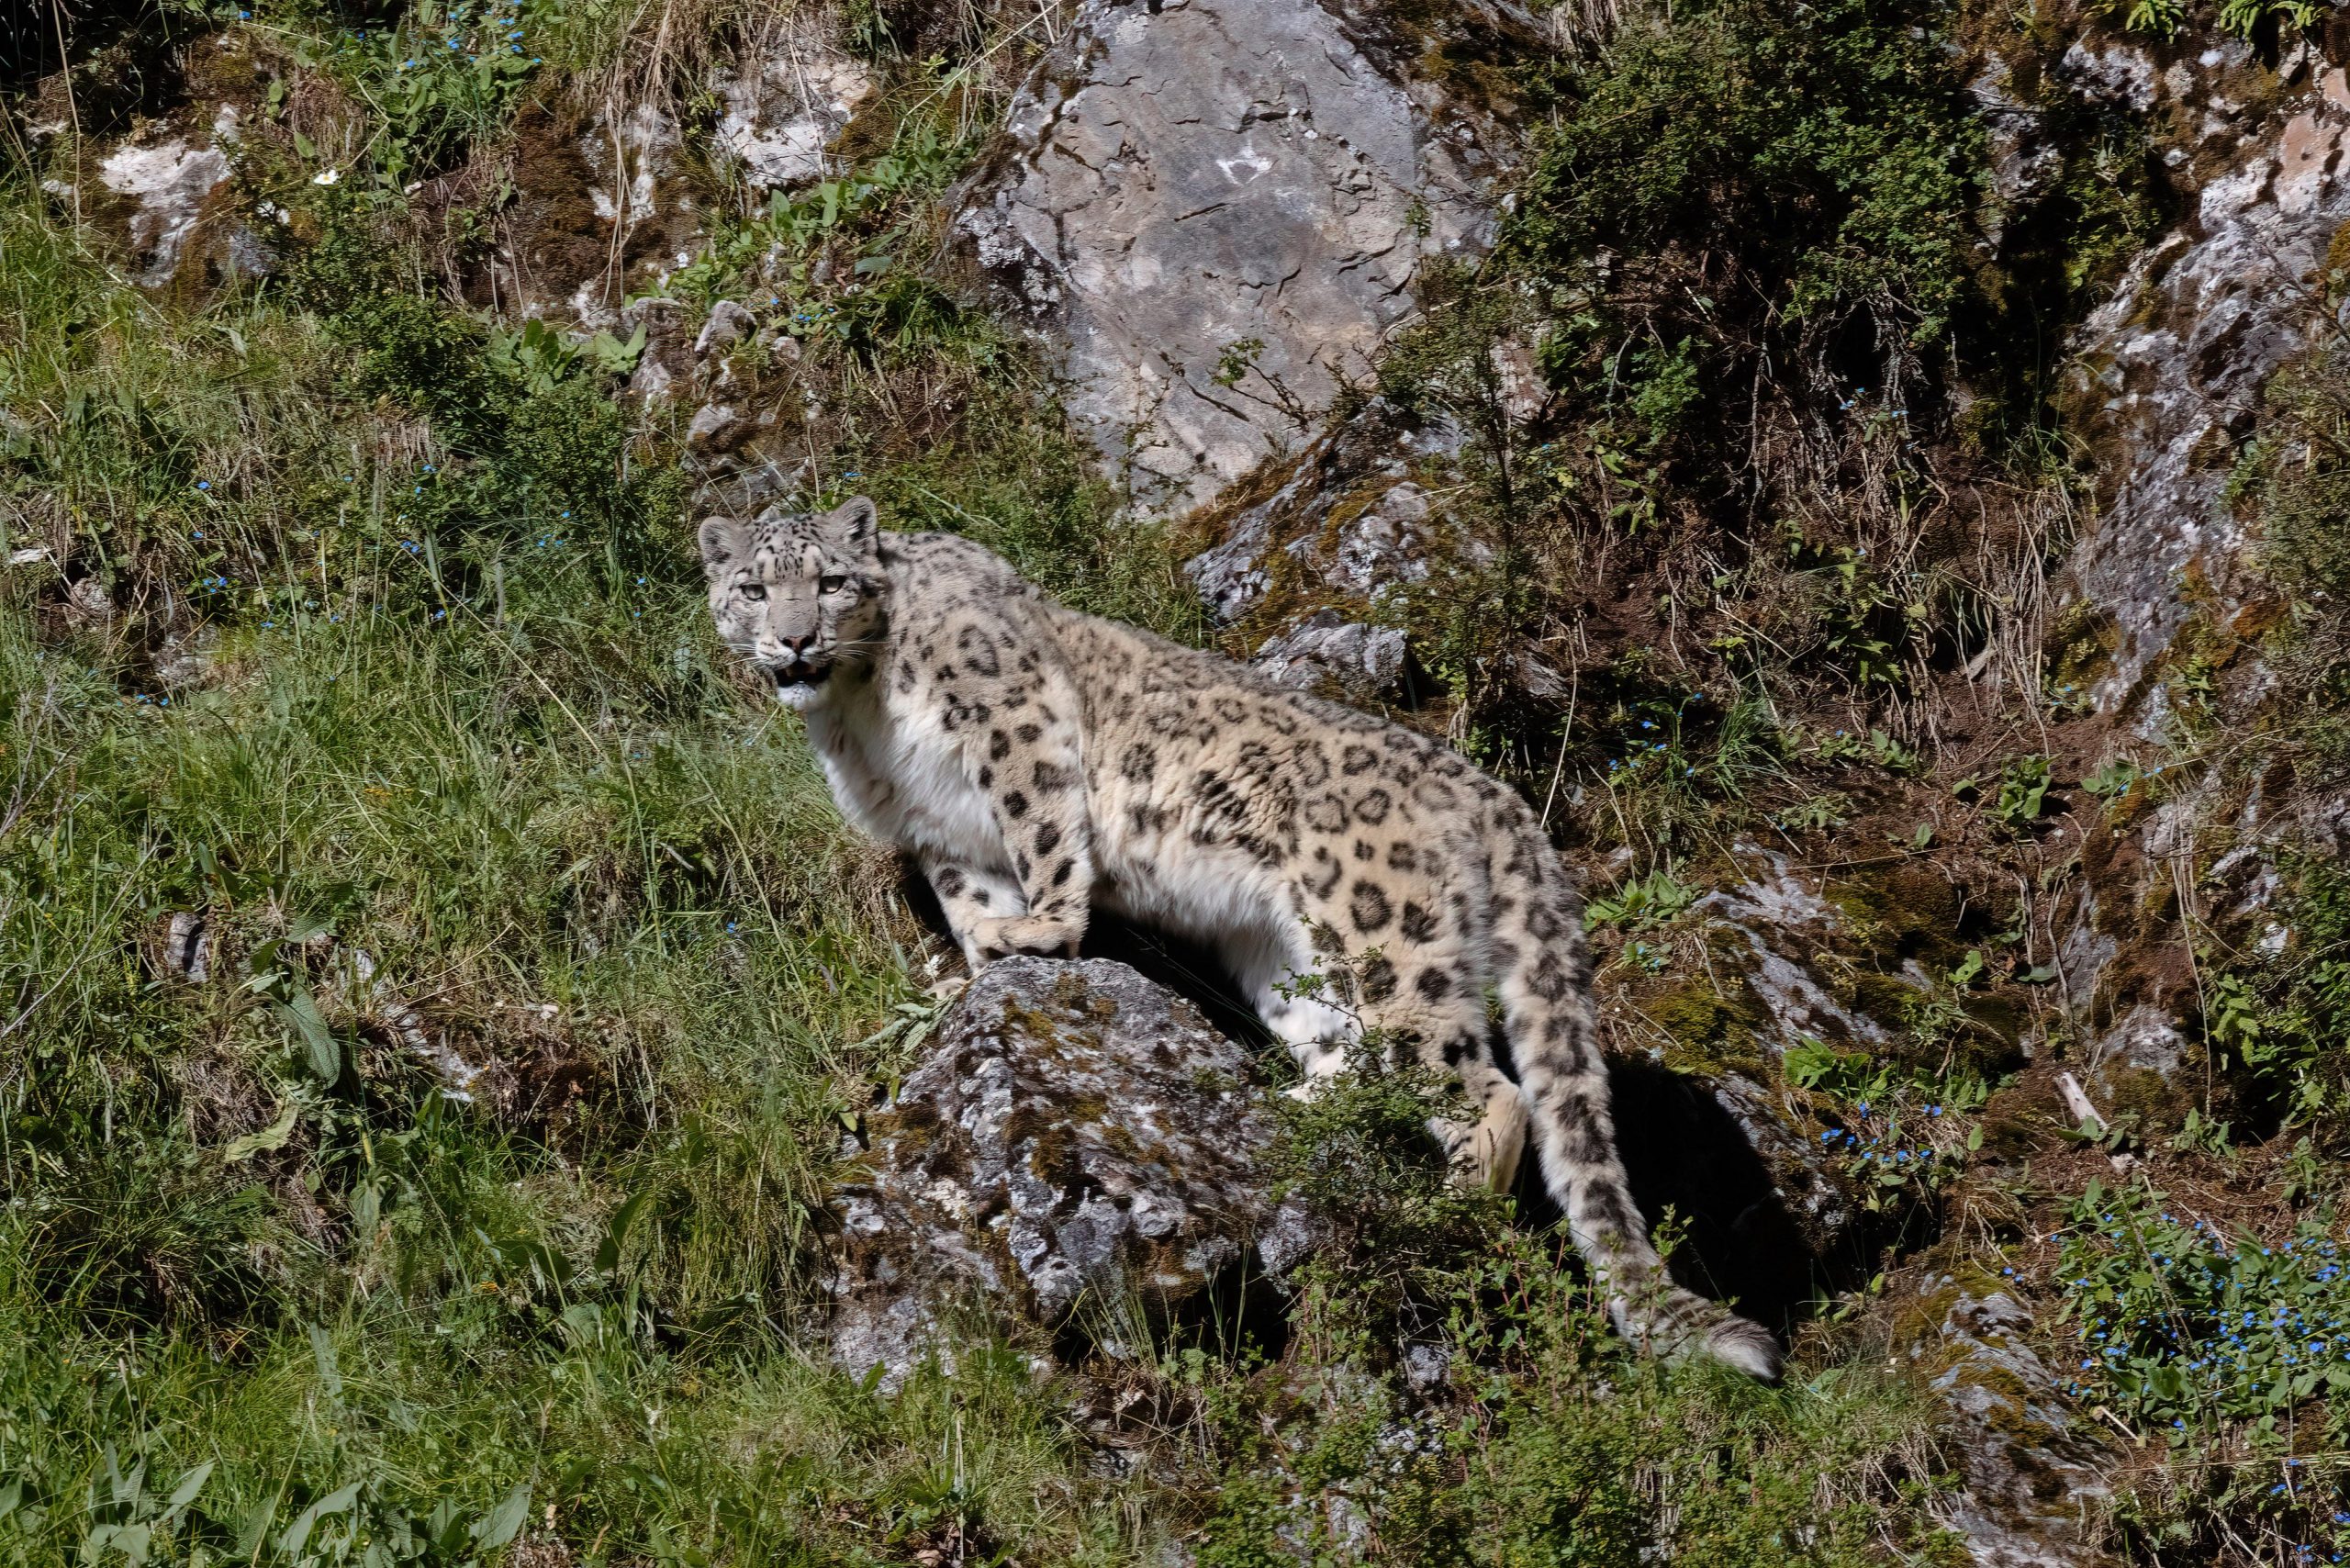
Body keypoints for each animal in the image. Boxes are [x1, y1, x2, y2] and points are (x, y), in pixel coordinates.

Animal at [699, 494, 1781, 1378]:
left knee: (1483, 1086)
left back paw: (1447, 1205)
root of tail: (1492, 792)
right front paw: (970, 970)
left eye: (830, 582)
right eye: (752, 587)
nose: (793, 642)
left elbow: (1045, 833)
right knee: (1350, 1051)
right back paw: (1292, 1103)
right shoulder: (936, 833)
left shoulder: (1013, 724)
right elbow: (970, 902)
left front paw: (1039, 932)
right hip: (1291, 960)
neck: (859, 719)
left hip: (1393, 943)